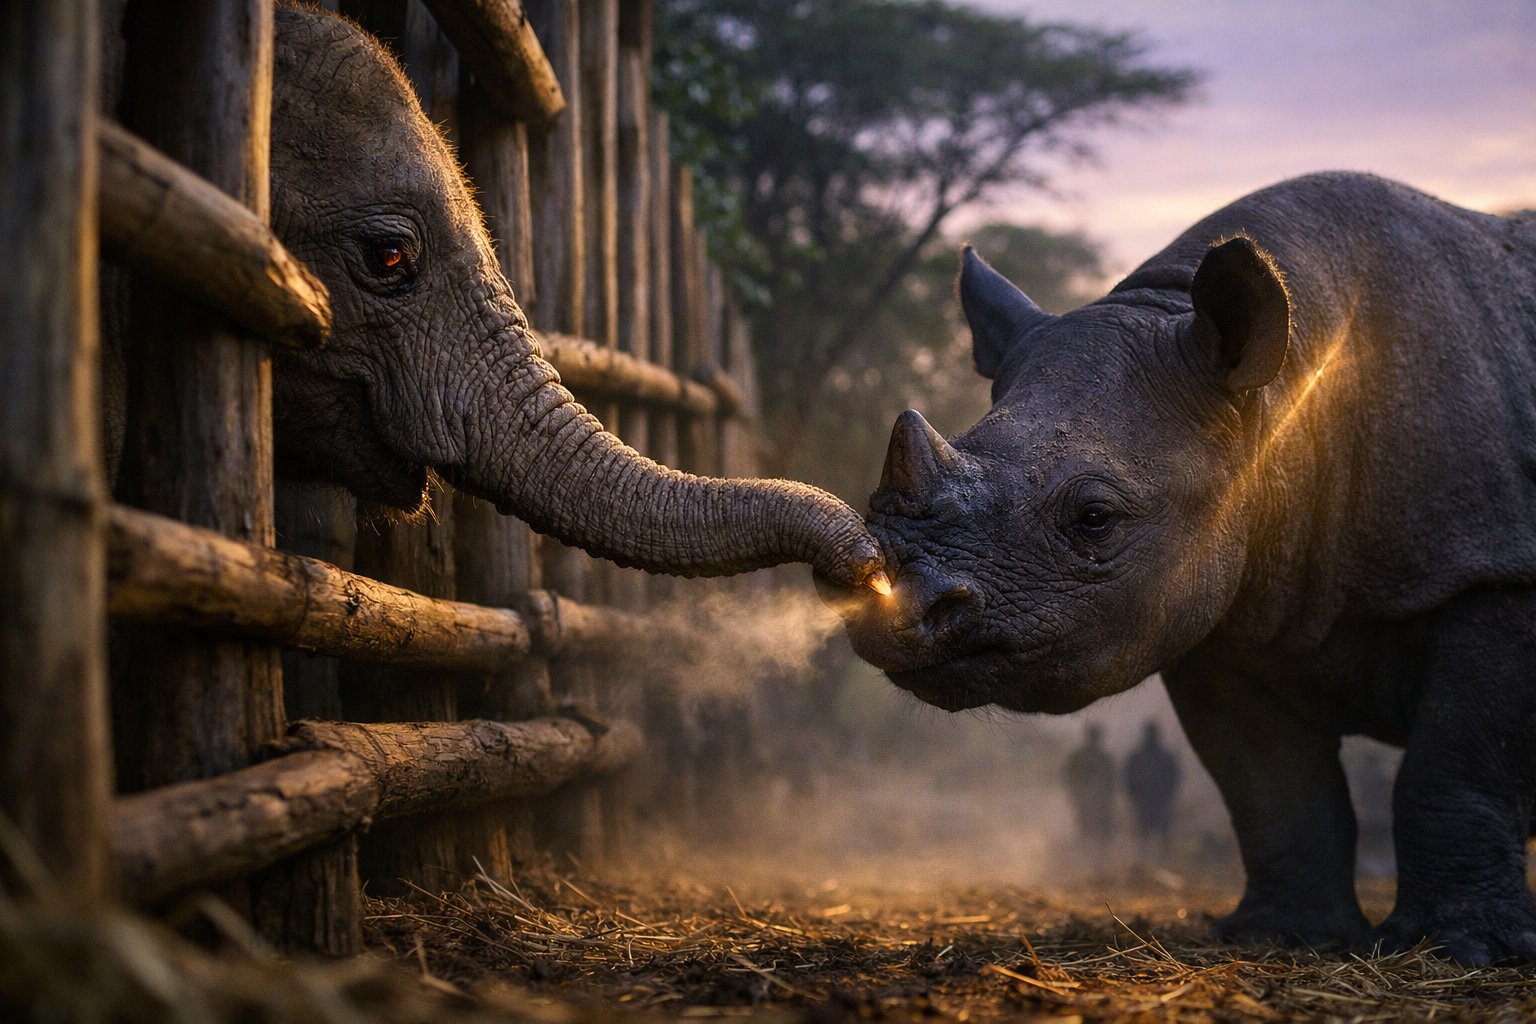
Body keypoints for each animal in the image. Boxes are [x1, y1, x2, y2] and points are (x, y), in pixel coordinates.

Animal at [824, 172, 1536, 964]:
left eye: (1095, 518)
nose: (890, 609)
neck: (1279, 400)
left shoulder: (1496, 568)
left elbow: (1455, 762)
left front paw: (1464, 950)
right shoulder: (1220, 611)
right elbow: (1270, 785)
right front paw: (1280, 937)